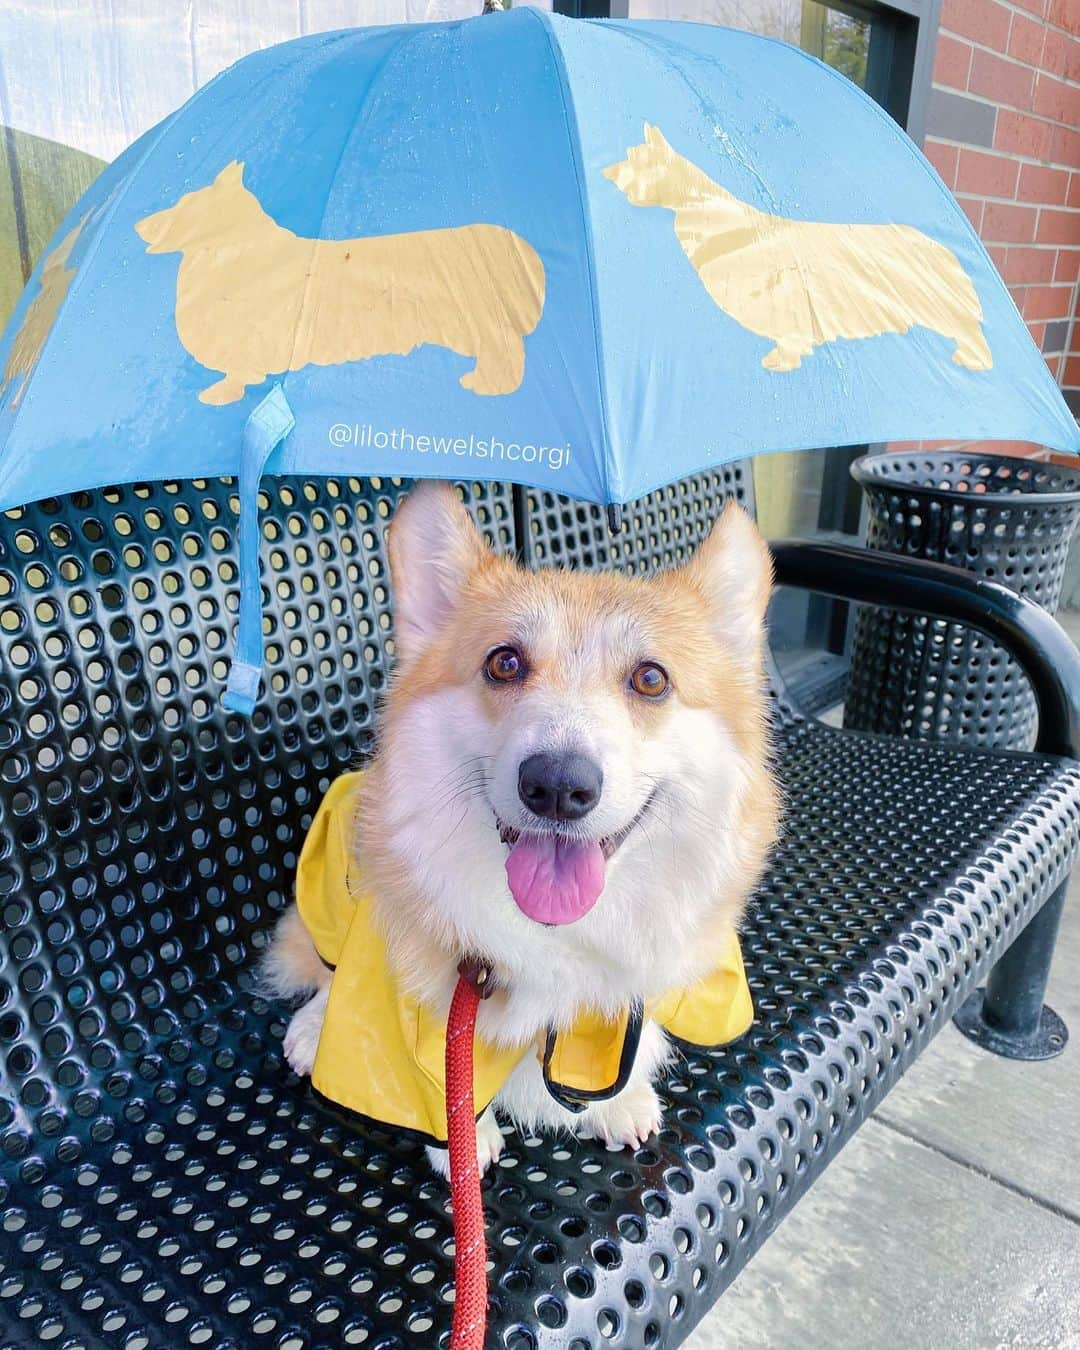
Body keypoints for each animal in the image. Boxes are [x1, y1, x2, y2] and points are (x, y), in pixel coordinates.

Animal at [265, 483, 783, 1171]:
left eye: (651, 678)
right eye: (504, 663)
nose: (557, 787)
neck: (562, 935)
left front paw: (618, 1100)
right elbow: (432, 1076)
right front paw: (463, 1140)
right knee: (323, 967)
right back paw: (311, 1029)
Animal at [602, 122, 993, 375]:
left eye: (636, 160)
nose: (607, 173)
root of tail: (941, 246)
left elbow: (791, 337)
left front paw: (781, 362)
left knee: (970, 333)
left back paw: (972, 361)